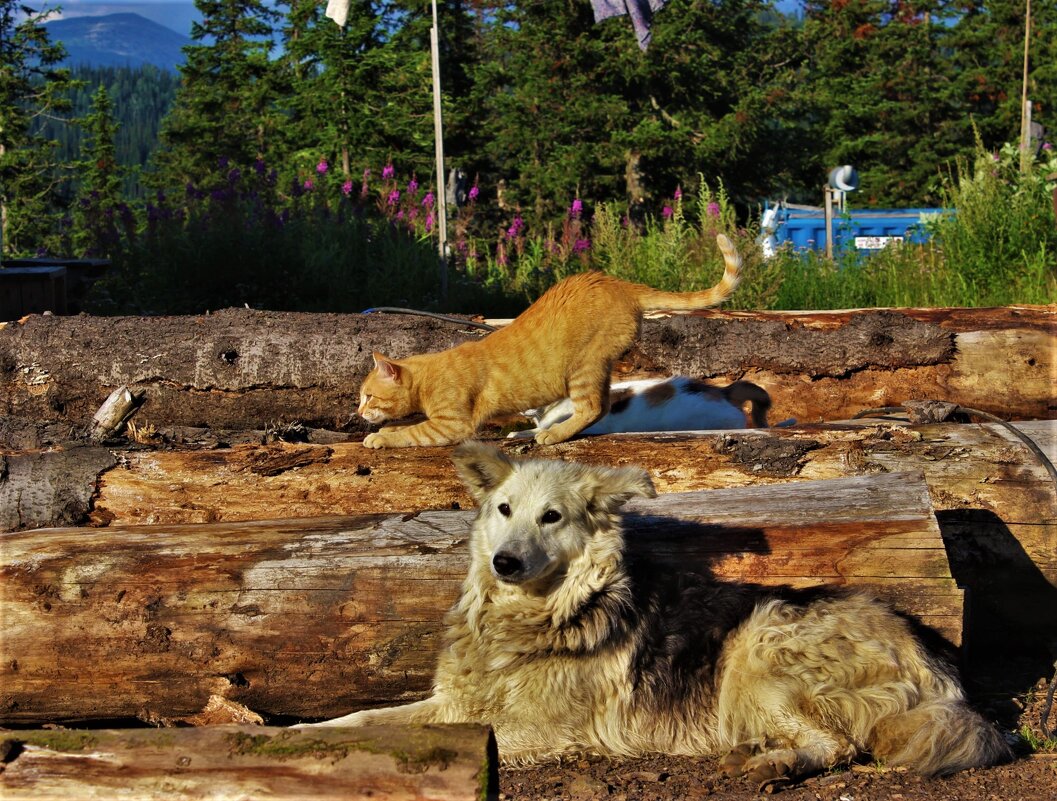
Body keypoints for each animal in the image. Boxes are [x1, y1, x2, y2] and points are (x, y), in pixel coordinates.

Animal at [304, 441, 1006, 786]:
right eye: (504, 510)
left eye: (551, 517)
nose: (504, 562)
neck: (539, 617)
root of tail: (927, 650)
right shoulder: (456, 700)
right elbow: (364, 718)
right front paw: (303, 736)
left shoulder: (544, 731)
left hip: (756, 642)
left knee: (837, 745)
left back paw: (770, 764)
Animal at [359, 232, 739, 448]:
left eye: (368, 396)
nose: (358, 411)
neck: (430, 374)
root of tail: (619, 284)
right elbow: (407, 426)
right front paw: (383, 432)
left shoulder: (452, 424)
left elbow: (413, 432)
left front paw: (379, 437)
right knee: (602, 407)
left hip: (584, 366)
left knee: (593, 407)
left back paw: (553, 435)